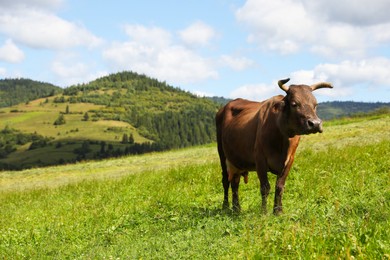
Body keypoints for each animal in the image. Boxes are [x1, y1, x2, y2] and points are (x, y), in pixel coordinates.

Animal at [216, 78, 332, 214]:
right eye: (294, 104)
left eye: (315, 104)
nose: (315, 124)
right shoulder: (260, 159)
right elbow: (265, 187)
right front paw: (264, 212)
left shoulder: (290, 160)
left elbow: (280, 186)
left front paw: (278, 211)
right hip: (222, 154)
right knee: (225, 180)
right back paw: (225, 206)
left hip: (236, 160)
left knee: (235, 182)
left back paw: (236, 208)